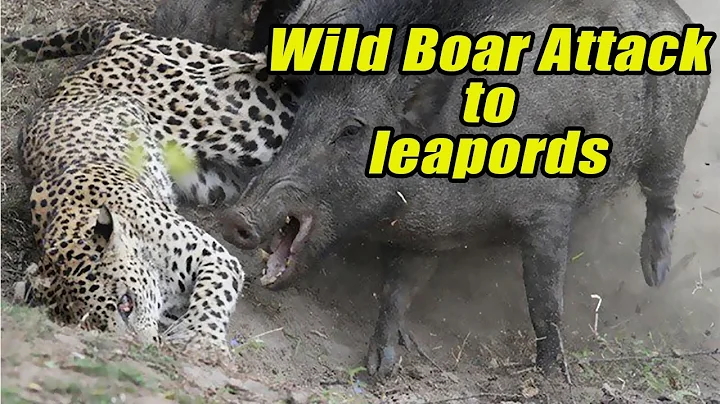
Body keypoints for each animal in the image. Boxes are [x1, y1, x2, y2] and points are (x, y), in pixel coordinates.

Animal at [221, 0, 711, 378]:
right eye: (301, 114)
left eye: (351, 130)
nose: (235, 217)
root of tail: (680, 14)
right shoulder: (423, 239)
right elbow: (396, 291)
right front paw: (381, 367)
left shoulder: (550, 207)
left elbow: (544, 297)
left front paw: (554, 376)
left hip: (669, 139)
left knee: (664, 194)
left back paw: (656, 274)